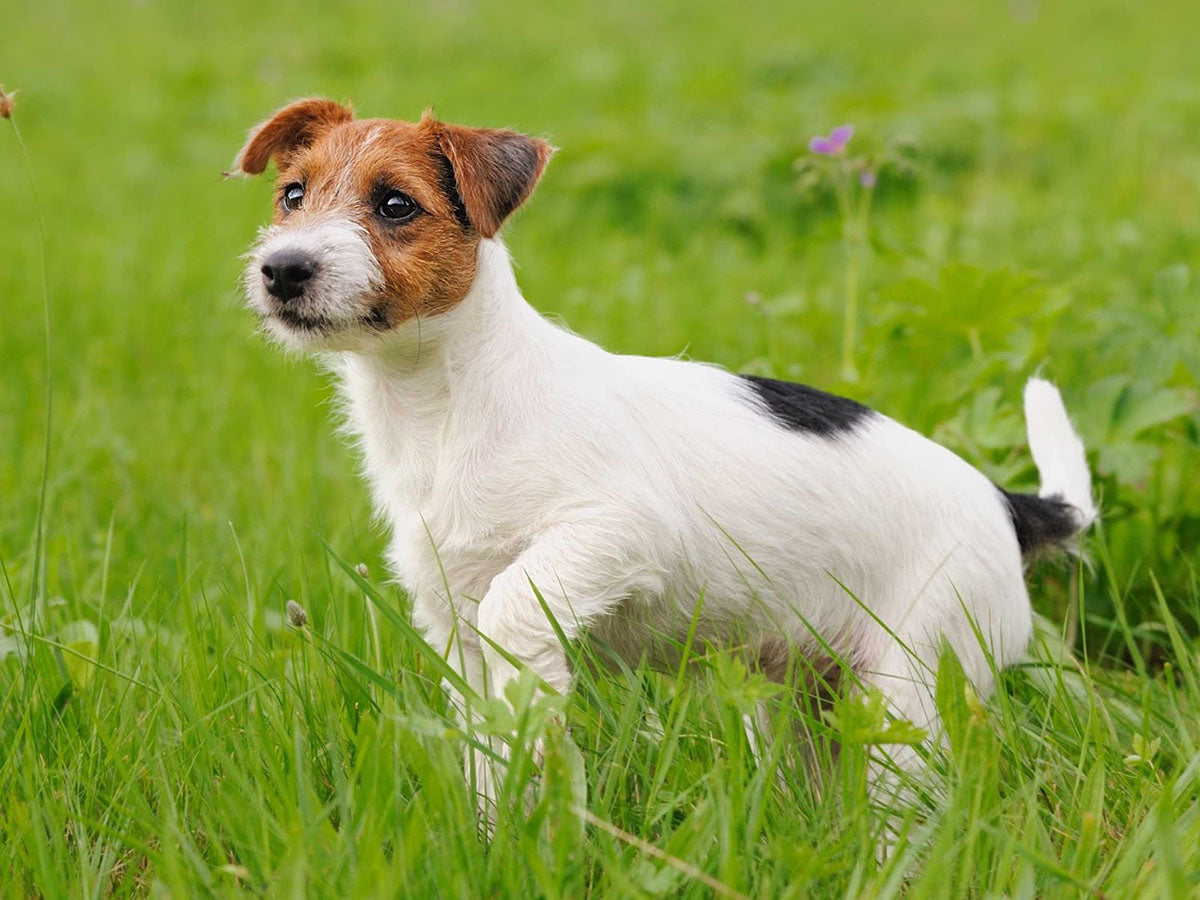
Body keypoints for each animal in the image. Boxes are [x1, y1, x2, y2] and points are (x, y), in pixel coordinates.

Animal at [231, 100, 1099, 816]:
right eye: (293, 196)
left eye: (395, 205)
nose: (283, 269)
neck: (440, 404)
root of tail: (1007, 504)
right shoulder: (453, 619)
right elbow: (485, 746)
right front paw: (498, 830)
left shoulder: (618, 531)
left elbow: (519, 605)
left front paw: (543, 707)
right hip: (797, 694)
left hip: (912, 682)